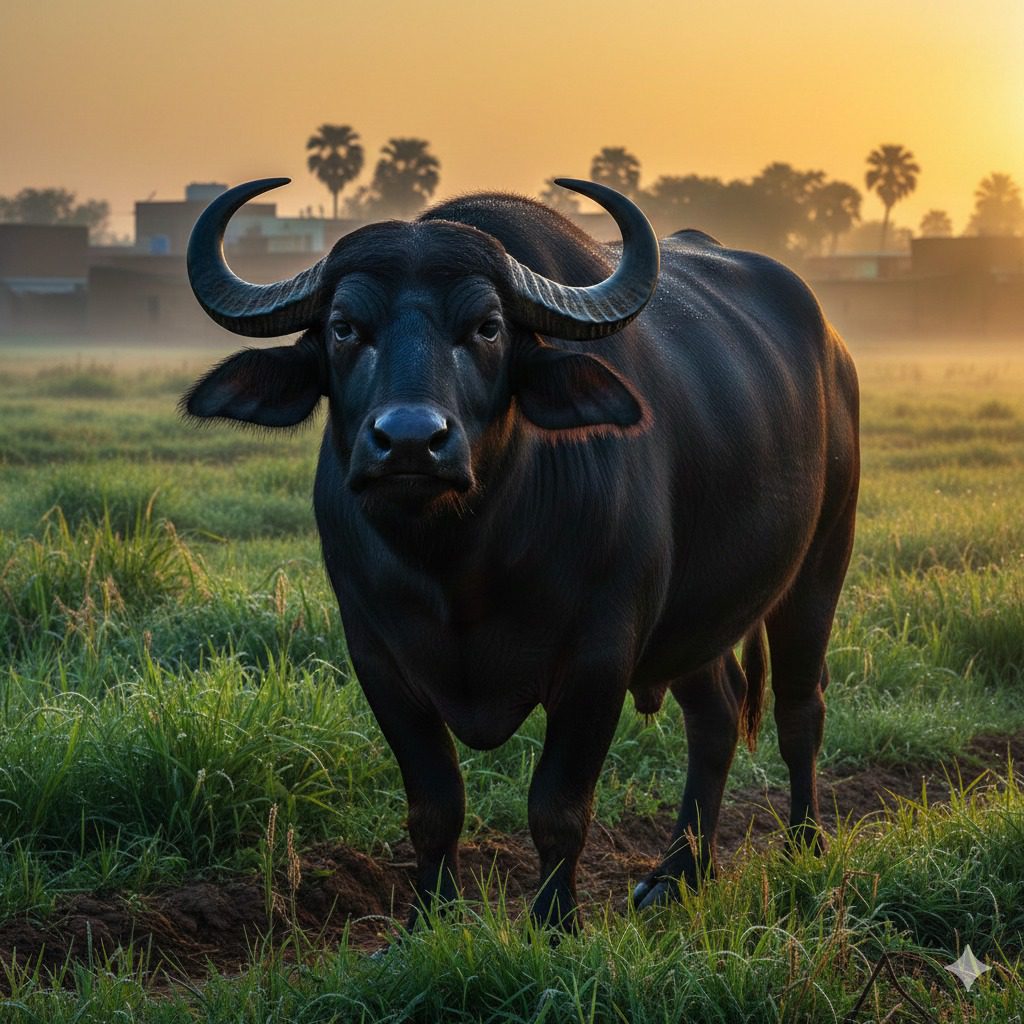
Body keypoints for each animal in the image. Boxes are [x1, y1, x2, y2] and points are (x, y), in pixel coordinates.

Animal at [183, 177, 859, 929]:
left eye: (487, 326)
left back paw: (803, 845)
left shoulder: (600, 657)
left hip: (821, 561)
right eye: (344, 327)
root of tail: (833, 350)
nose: (411, 441)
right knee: (716, 714)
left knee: (799, 708)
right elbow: (434, 804)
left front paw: (554, 922)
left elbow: (558, 807)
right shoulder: (377, 657)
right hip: (697, 619)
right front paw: (429, 917)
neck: (460, 564)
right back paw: (679, 873)